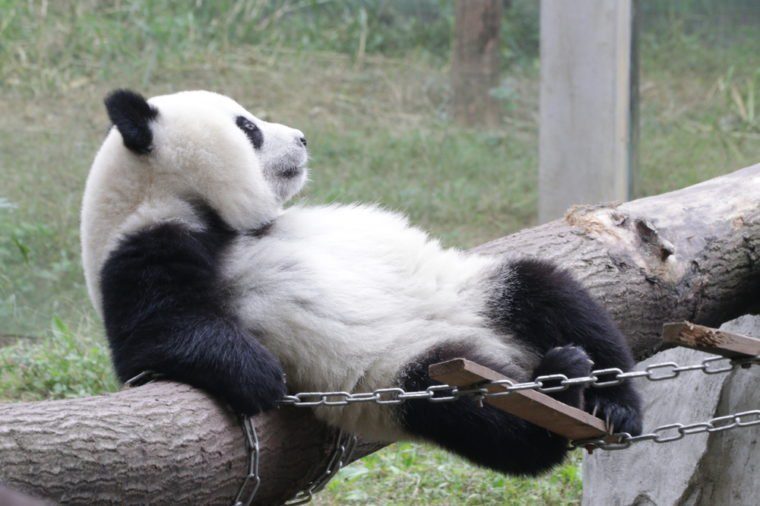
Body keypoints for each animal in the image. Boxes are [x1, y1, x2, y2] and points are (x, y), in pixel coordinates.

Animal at [81, 90, 640, 474]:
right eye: (247, 127)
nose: (302, 138)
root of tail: (502, 352)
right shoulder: (141, 247)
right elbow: (155, 334)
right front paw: (258, 374)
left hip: (474, 290)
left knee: (550, 293)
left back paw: (608, 398)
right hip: (406, 372)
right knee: (478, 418)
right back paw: (561, 382)